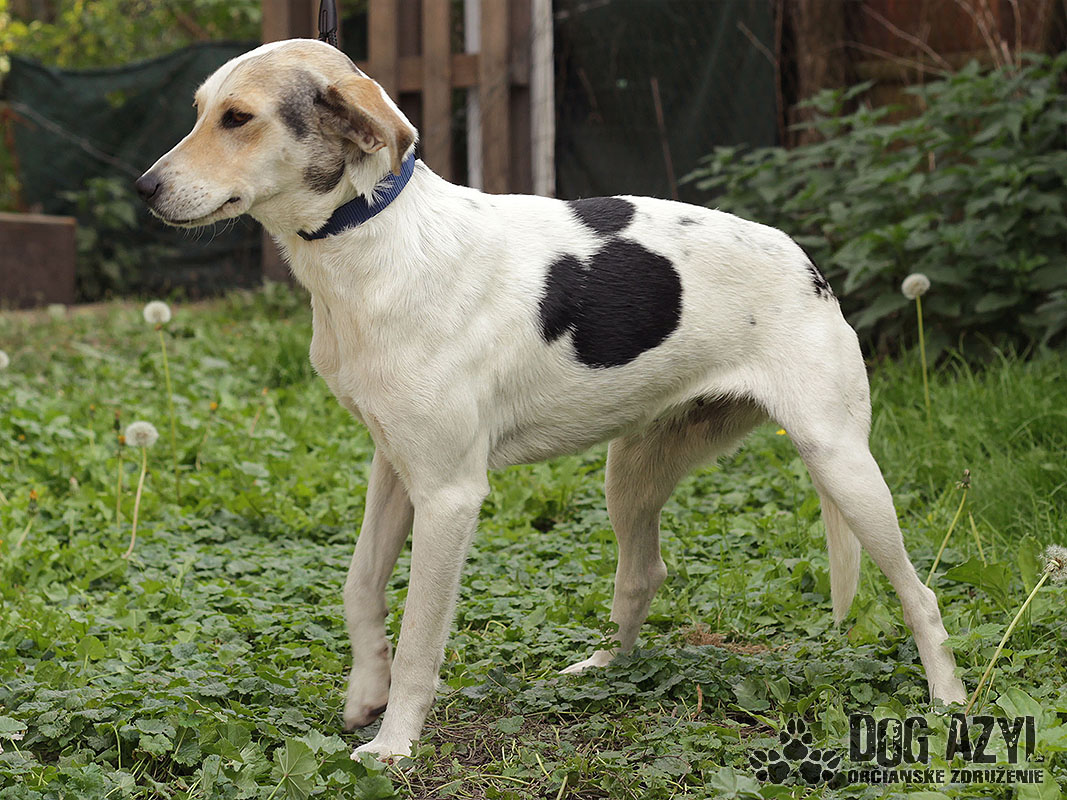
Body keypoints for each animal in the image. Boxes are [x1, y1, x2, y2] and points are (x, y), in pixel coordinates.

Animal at [136, 38, 967, 761]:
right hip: (631, 472)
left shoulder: (449, 495)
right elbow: (360, 588)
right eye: (200, 109)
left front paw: (395, 744)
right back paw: (605, 671)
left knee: (920, 595)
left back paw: (947, 703)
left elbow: (420, 639)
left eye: (237, 118)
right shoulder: (394, 466)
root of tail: (806, 263)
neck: (375, 241)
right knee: (642, 577)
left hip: (841, 465)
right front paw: (365, 690)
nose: (144, 189)